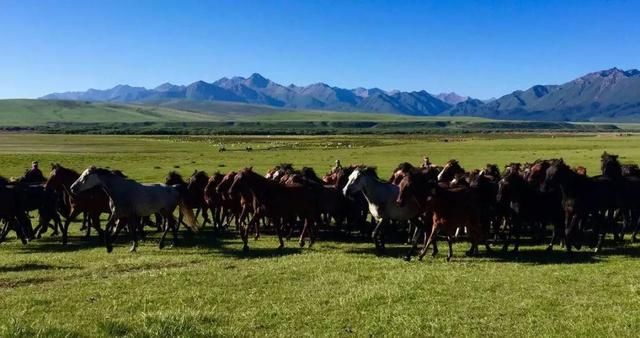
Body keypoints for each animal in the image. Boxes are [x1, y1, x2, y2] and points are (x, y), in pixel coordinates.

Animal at [70, 166, 198, 251]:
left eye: (86, 176)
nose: (72, 188)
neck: (120, 191)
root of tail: (174, 188)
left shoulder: (129, 215)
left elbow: (131, 230)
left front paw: (133, 247)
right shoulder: (117, 214)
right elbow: (109, 228)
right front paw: (109, 247)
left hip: (166, 211)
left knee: (169, 225)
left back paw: (165, 244)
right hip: (162, 212)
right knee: (170, 224)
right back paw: (171, 243)